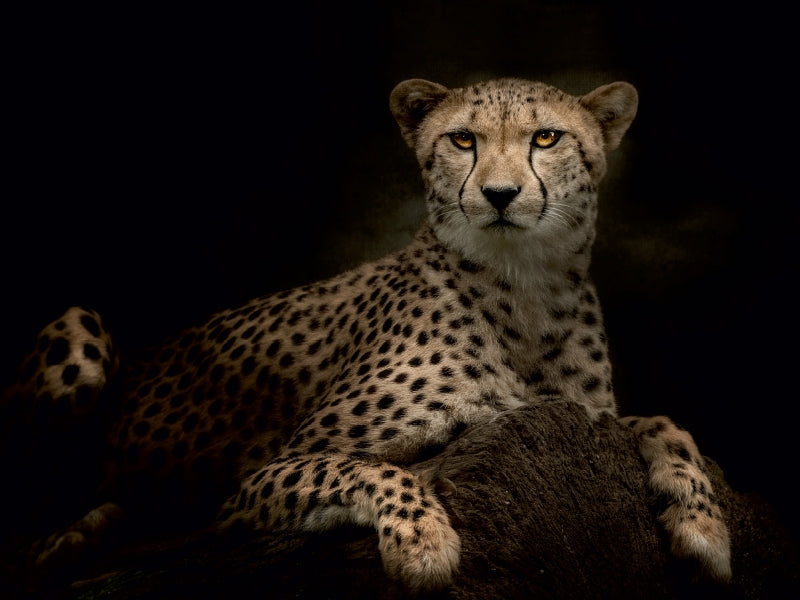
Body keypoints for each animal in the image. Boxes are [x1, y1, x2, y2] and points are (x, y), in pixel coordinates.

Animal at [0, 76, 731, 595]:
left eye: (547, 139)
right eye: (462, 140)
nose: (497, 195)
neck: (524, 287)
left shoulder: (579, 417)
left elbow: (664, 424)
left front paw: (703, 526)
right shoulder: (259, 479)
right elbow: (366, 465)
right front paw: (423, 543)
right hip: (82, 333)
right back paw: (71, 538)